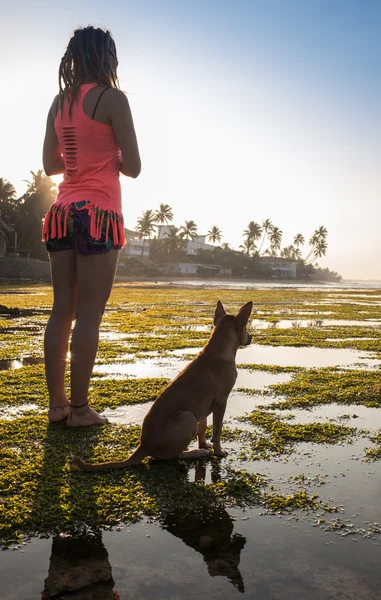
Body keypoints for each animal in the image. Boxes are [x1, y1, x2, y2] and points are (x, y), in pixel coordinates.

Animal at [73, 302, 252, 472]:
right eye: (245, 327)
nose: (251, 337)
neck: (218, 350)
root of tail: (144, 446)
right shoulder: (221, 401)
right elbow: (217, 429)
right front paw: (218, 451)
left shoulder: (205, 407)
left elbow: (203, 427)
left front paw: (204, 444)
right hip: (187, 417)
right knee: (173, 456)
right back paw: (195, 453)